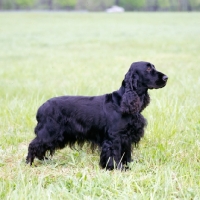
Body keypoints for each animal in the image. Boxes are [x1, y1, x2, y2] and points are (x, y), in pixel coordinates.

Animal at [26, 61, 167, 170]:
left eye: (153, 67)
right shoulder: (114, 137)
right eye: (148, 68)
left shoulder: (127, 137)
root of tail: (41, 107)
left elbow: (126, 154)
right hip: (49, 132)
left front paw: (128, 166)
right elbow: (115, 154)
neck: (121, 102)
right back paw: (28, 163)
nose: (166, 78)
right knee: (33, 145)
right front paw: (116, 168)